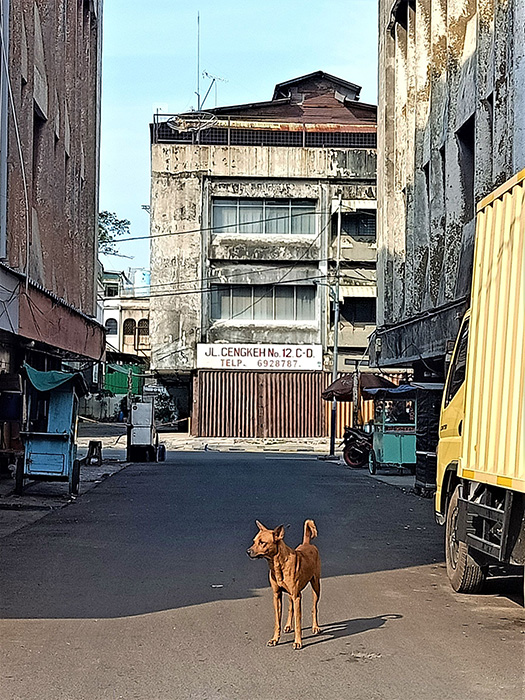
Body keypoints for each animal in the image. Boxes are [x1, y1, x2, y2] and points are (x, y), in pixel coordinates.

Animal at [246, 516, 320, 648]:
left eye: (262, 542)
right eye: (254, 541)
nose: (248, 551)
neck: (277, 565)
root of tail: (307, 544)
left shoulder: (297, 596)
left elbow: (298, 623)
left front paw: (298, 642)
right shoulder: (277, 595)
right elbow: (277, 621)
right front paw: (275, 639)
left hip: (316, 586)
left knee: (314, 608)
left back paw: (315, 627)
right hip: (291, 594)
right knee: (291, 608)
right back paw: (288, 625)